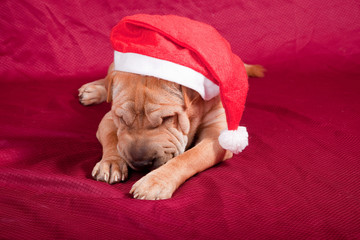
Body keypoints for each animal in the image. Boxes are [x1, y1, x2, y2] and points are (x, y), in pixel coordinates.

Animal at [79, 62, 264, 200]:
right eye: (122, 119)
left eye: (167, 118)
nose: (140, 163)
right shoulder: (109, 119)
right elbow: (112, 138)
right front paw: (111, 163)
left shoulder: (216, 135)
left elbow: (189, 157)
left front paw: (155, 182)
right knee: (109, 79)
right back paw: (93, 90)